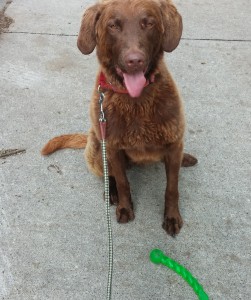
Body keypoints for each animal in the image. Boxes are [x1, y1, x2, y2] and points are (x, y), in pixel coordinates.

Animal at [41, 0, 198, 237]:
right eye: (113, 26)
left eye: (148, 23)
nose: (135, 61)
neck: (136, 101)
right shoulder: (113, 148)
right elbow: (123, 182)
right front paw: (125, 207)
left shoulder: (173, 142)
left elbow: (172, 187)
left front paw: (171, 216)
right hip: (99, 149)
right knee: (110, 176)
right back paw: (112, 194)